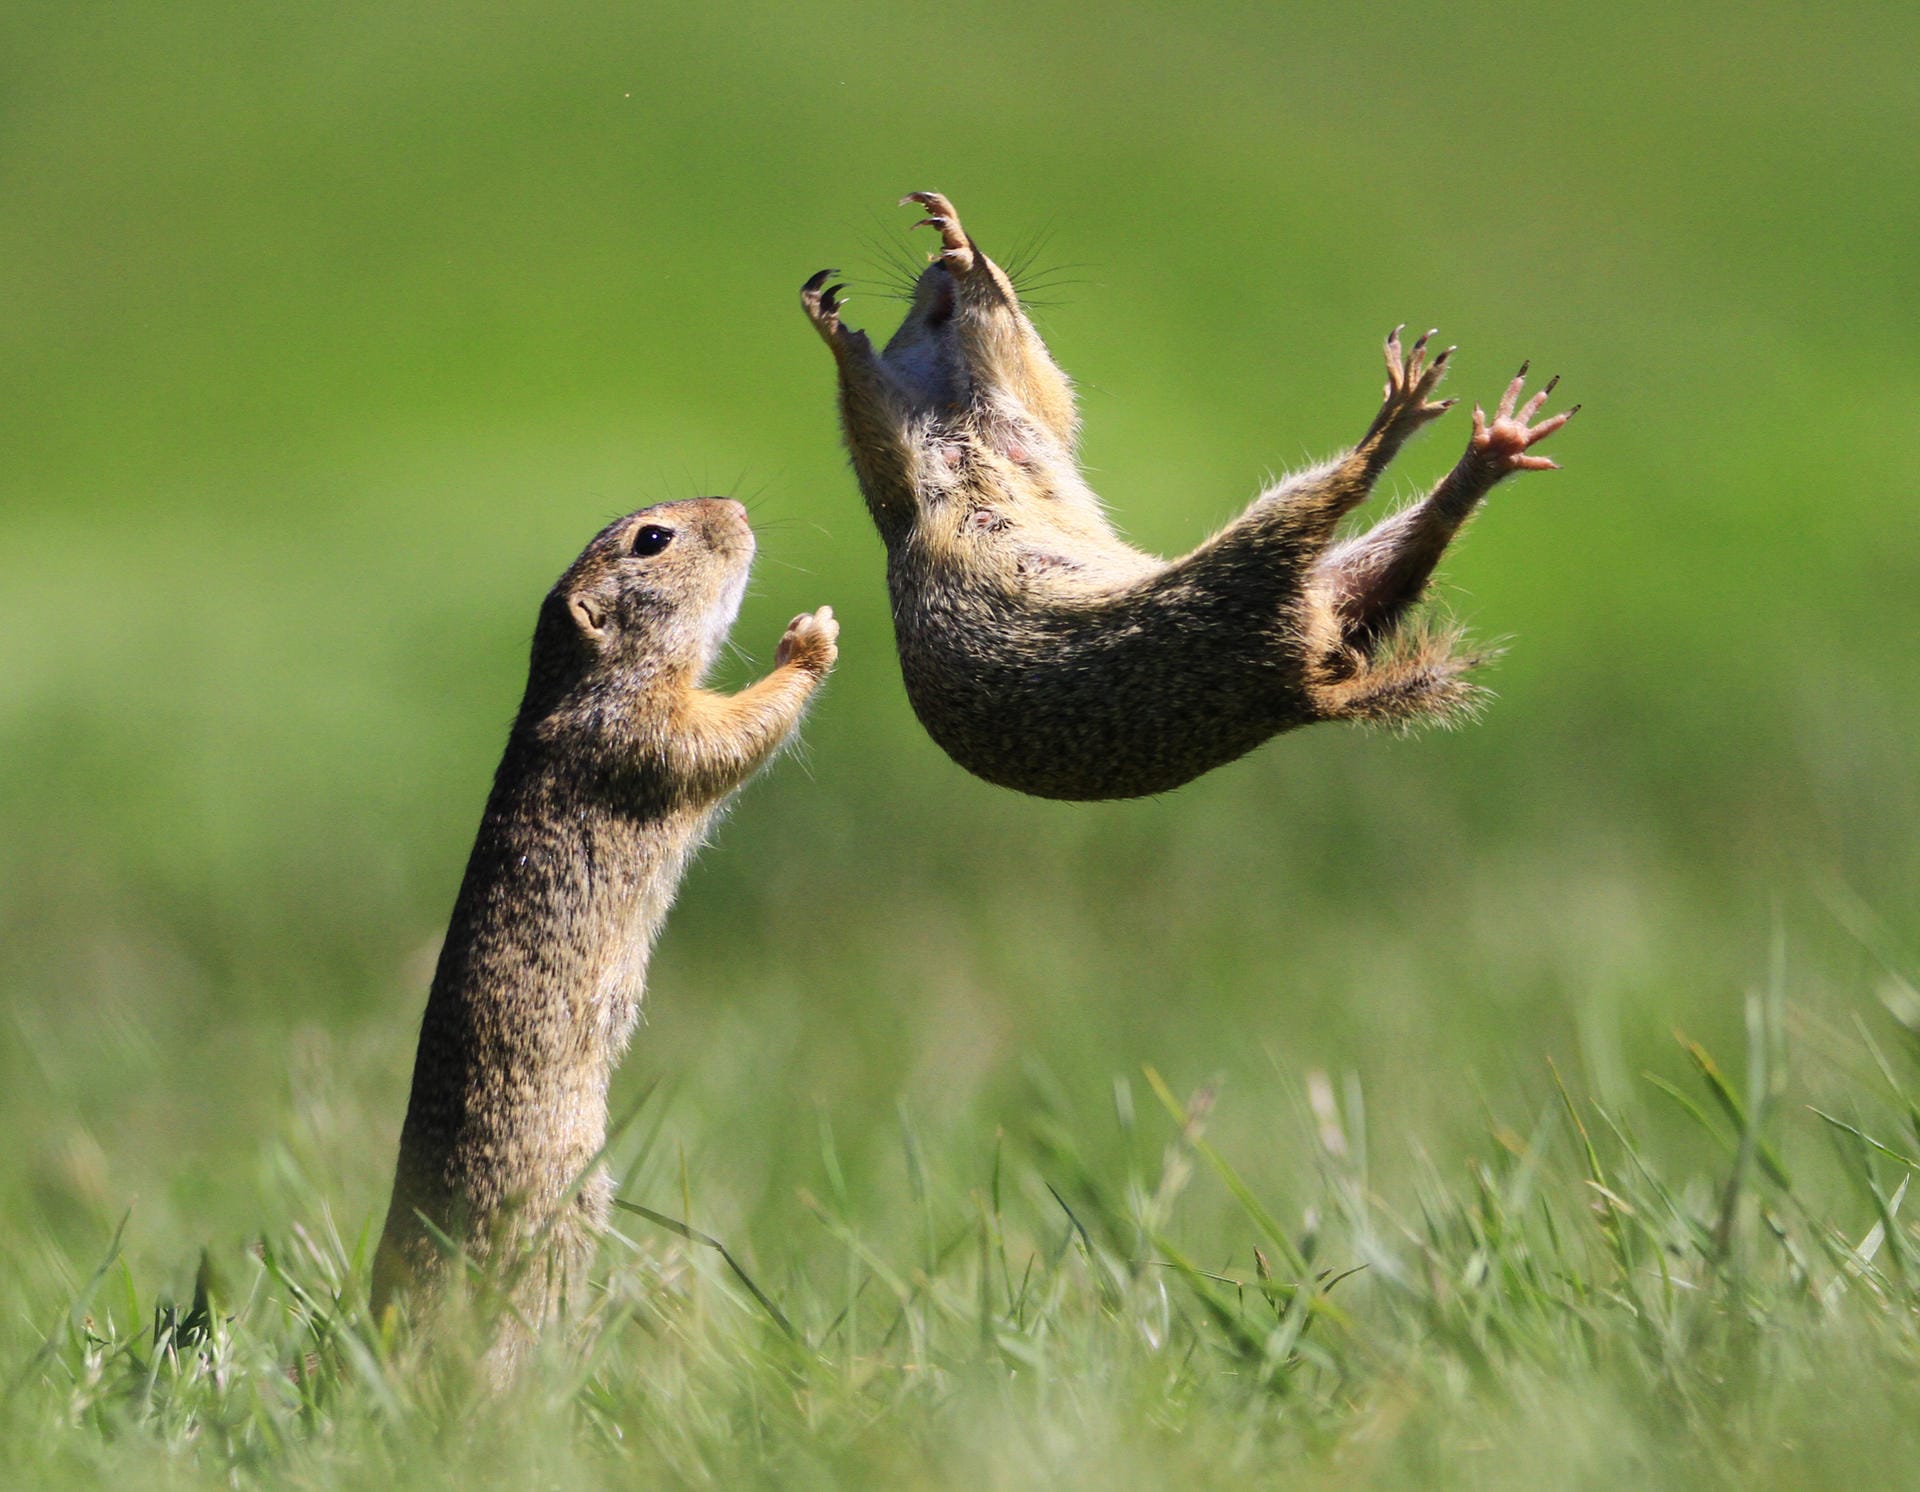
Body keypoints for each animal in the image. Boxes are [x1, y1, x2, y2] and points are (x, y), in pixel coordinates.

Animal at [370, 503, 837, 1374]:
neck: (576, 682)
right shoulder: (647, 733)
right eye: (652, 540)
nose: (739, 511)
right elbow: (736, 728)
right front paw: (811, 639)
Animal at [794, 196, 1574, 802]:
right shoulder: (905, 471)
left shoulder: (1026, 407)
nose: (946, 271)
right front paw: (835, 328)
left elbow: (1029, 370)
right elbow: (875, 423)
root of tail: (1299, 690)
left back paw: (1458, 441)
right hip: (1248, 565)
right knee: (1359, 507)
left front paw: (950, 237)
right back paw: (1426, 431)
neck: (960, 411)